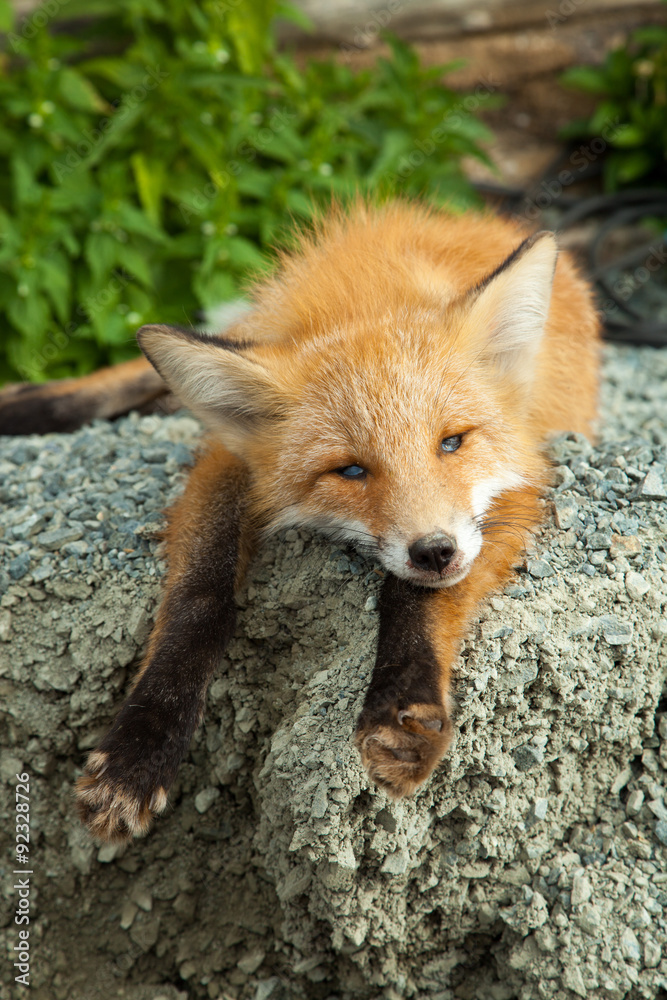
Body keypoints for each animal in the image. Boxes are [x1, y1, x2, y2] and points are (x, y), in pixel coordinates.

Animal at [1, 200, 601, 843]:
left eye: (452, 442)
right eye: (351, 470)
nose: (433, 551)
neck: (367, 299)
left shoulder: (526, 471)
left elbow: (418, 597)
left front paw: (405, 706)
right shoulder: (230, 455)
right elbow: (199, 597)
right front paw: (138, 753)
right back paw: (30, 403)